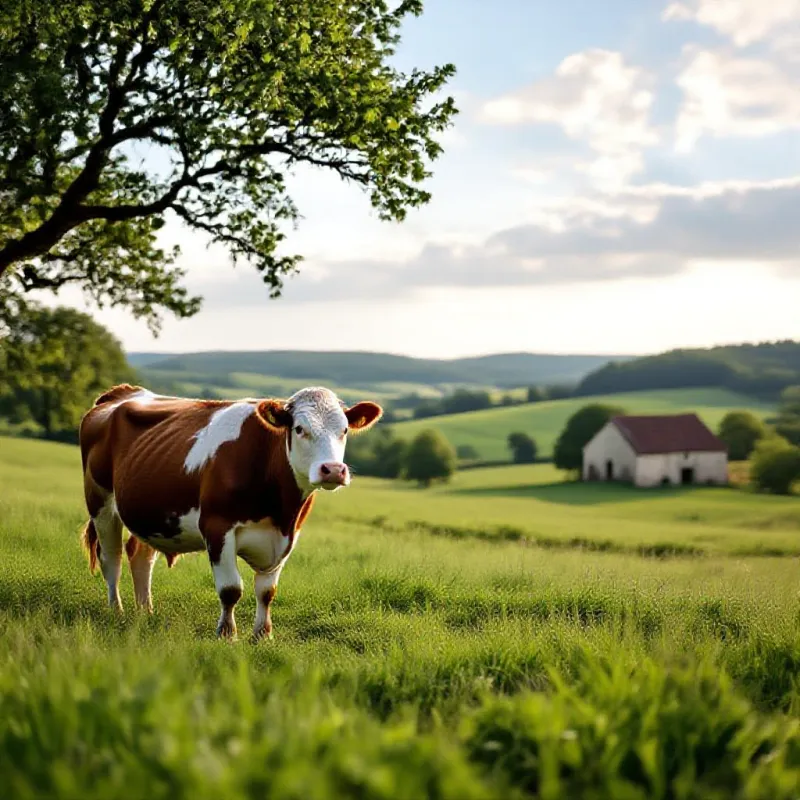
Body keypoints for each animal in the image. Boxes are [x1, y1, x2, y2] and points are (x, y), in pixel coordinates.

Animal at [78, 384, 382, 640]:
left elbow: (267, 591)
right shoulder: (217, 527)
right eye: (299, 429)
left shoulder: (288, 535)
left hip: (151, 514)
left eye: (344, 430)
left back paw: (145, 612)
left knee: (140, 555)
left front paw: (262, 635)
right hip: (100, 501)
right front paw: (226, 634)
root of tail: (123, 392)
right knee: (111, 558)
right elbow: (231, 589)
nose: (333, 470)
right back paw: (116, 611)